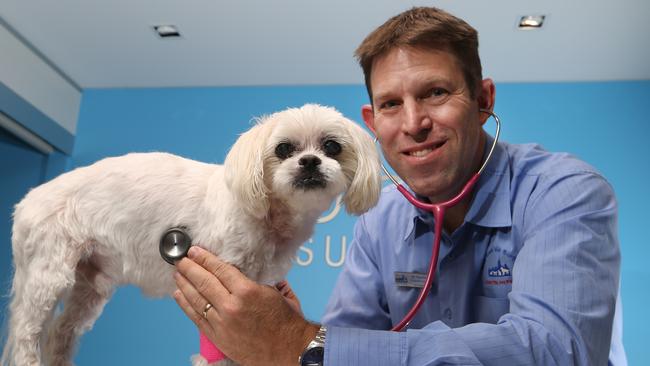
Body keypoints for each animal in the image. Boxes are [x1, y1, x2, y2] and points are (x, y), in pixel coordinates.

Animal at [0, 103, 380, 366]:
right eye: (284, 149)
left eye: (332, 147)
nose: (310, 162)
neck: (269, 213)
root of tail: (26, 203)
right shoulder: (222, 276)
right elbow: (216, 350)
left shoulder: (256, 281)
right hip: (48, 271)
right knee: (26, 334)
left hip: (92, 285)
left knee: (61, 332)